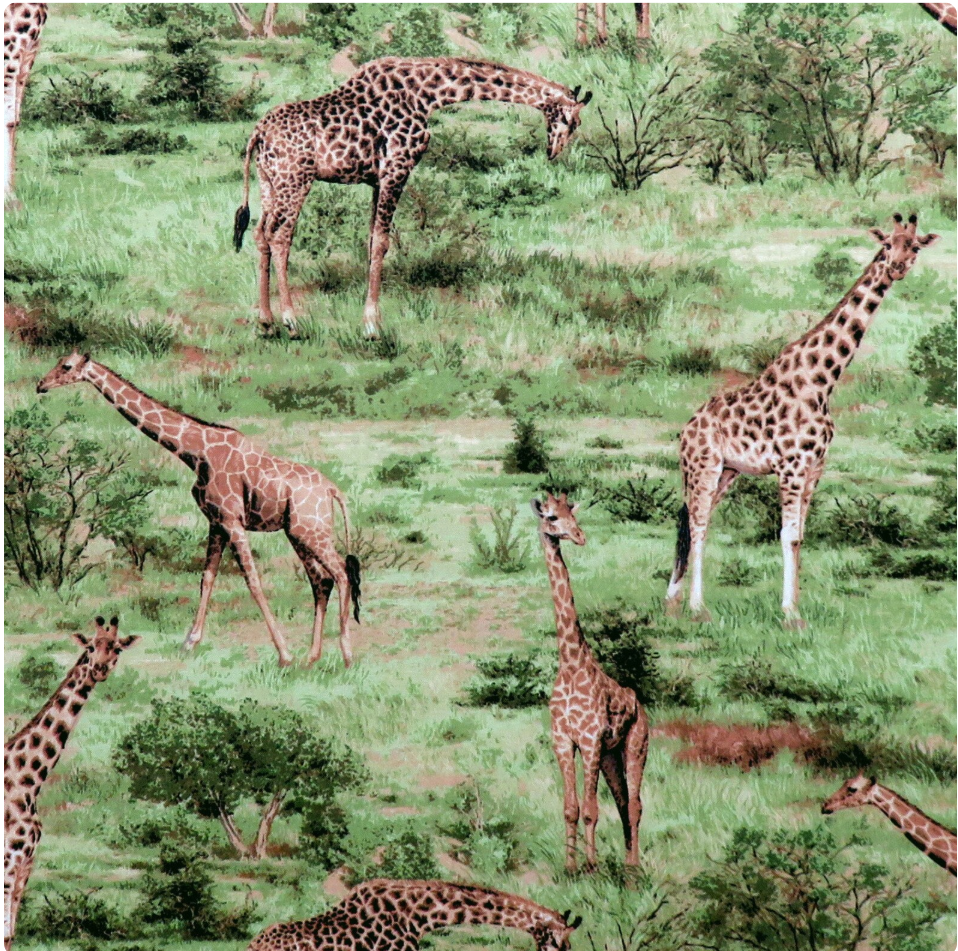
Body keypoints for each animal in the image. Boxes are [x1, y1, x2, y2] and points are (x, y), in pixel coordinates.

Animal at [4, 615, 138, 950]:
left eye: (116, 648)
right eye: (90, 646)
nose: (99, 668)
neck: (29, 781)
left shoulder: (26, 861)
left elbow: (10, 934)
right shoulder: (10, 856)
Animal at [36, 352, 361, 669]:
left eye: (66, 366)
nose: (41, 384)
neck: (195, 453)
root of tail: (333, 489)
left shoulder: (232, 520)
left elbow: (253, 581)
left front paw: (284, 654)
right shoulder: (215, 522)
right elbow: (207, 579)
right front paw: (189, 643)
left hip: (310, 529)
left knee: (342, 573)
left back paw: (346, 654)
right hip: (298, 531)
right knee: (322, 581)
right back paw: (312, 656)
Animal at [233, 57, 591, 339]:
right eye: (571, 121)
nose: (554, 152)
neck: (427, 95)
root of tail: (257, 134)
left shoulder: (375, 180)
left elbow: (371, 241)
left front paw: (368, 320)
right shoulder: (397, 168)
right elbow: (382, 242)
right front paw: (372, 327)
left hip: (269, 181)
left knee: (260, 233)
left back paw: (265, 322)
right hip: (297, 179)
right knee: (281, 235)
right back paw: (292, 322)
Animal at [531, 493, 649, 872]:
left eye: (573, 514)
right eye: (552, 517)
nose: (580, 536)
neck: (570, 665)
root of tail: (641, 706)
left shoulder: (591, 739)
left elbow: (591, 810)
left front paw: (591, 866)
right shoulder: (563, 740)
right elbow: (571, 808)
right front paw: (570, 867)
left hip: (636, 744)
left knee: (635, 803)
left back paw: (633, 866)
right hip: (612, 755)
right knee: (624, 801)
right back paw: (626, 861)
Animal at [665, 213, 939, 628]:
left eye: (916, 247)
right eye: (888, 244)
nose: (897, 267)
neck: (824, 378)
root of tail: (687, 428)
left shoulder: (815, 467)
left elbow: (800, 537)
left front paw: (798, 608)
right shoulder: (791, 465)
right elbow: (787, 535)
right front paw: (789, 613)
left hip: (727, 470)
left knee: (693, 519)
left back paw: (673, 602)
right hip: (704, 465)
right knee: (697, 523)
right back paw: (698, 608)